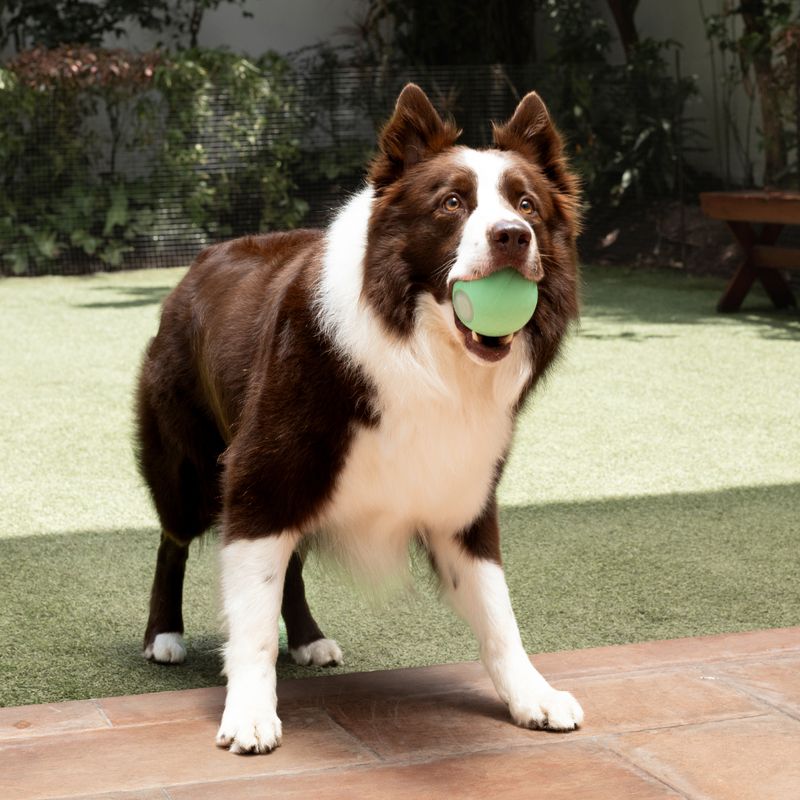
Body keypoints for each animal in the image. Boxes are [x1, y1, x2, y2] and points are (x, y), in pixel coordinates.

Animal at [138, 84, 584, 752]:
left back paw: (308, 637)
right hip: (189, 467)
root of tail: (201, 260)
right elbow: (252, 616)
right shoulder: (260, 474)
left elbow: (498, 612)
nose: (513, 236)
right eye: (452, 203)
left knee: (290, 564)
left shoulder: (462, 498)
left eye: (527, 204)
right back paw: (163, 635)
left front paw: (532, 695)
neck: (422, 352)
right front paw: (249, 712)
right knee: (173, 540)